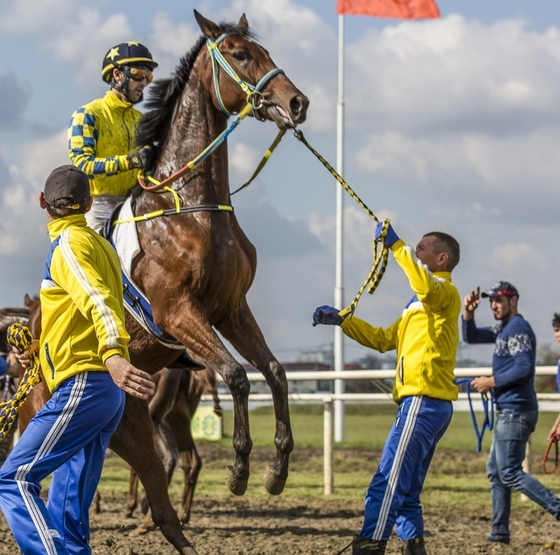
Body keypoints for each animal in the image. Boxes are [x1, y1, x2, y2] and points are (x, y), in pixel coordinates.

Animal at [126, 9, 306, 496]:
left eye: (267, 52)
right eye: (240, 54)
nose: (297, 102)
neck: (192, 207)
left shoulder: (230, 308)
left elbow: (275, 372)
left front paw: (277, 467)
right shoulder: (177, 311)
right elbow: (238, 375)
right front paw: (240, 465)